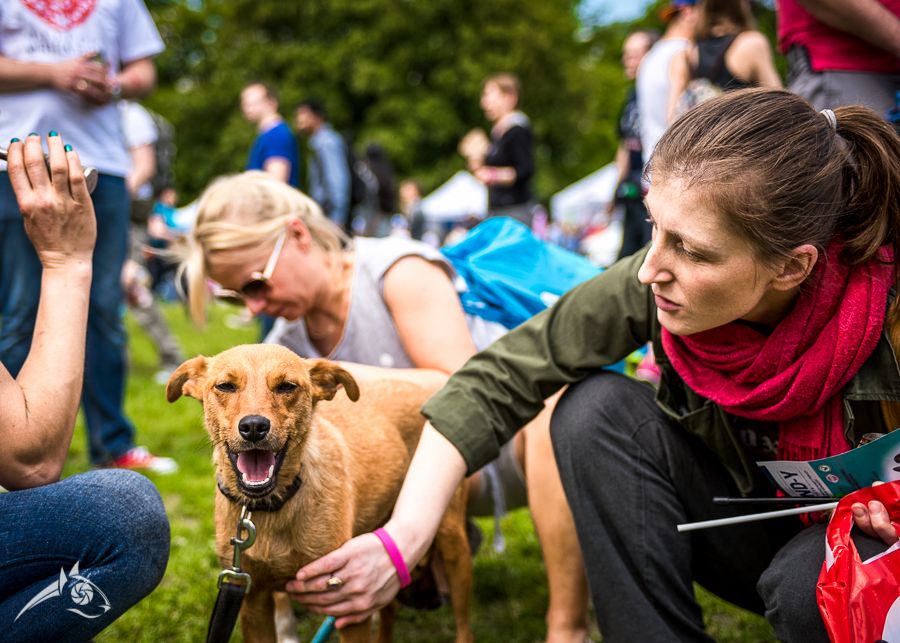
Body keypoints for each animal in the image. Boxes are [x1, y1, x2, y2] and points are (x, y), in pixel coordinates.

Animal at [166, 344, 473, 643]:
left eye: (287, 386)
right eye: (226, 386)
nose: (253, 426)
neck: (270, 508)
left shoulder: (351, 601)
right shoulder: (252, 602)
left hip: (451, 542)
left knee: (462, 622)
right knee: (390, 609)